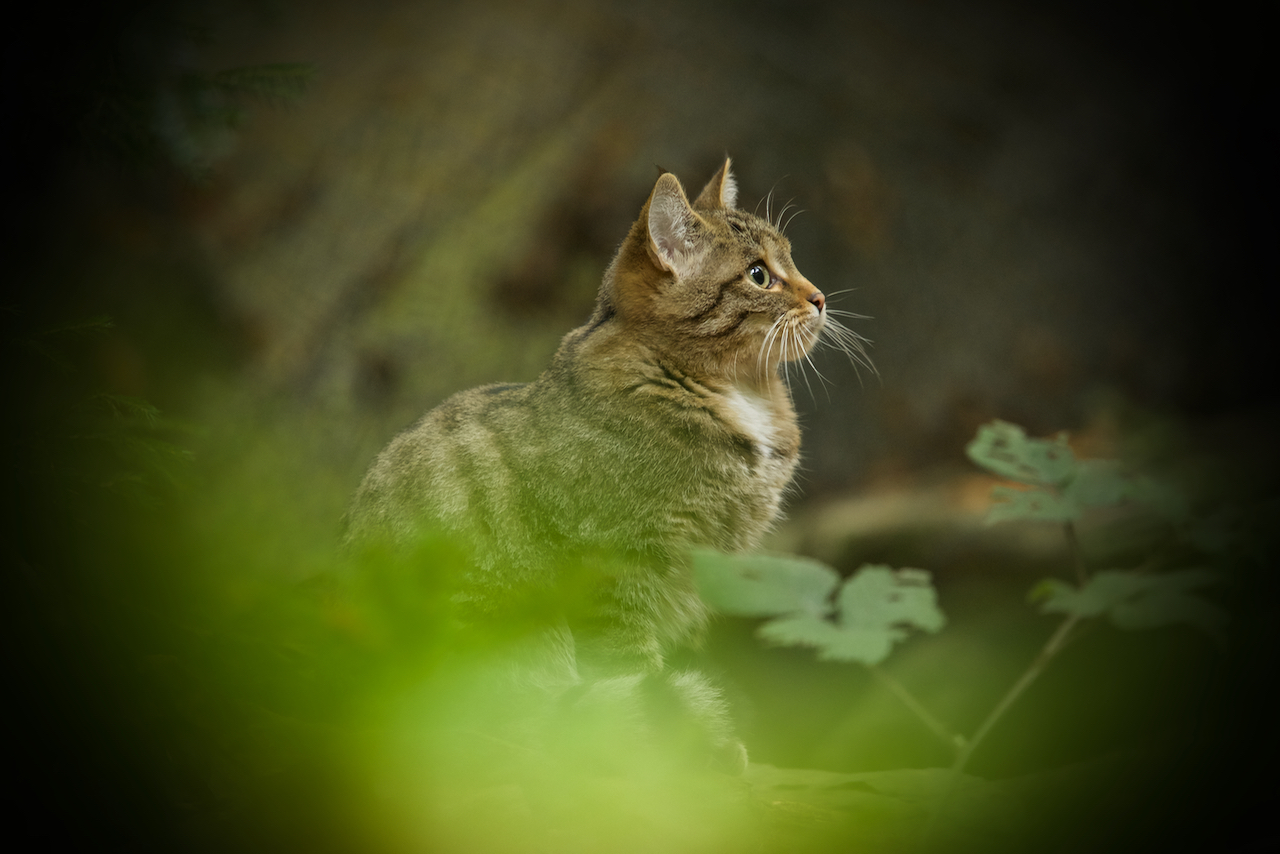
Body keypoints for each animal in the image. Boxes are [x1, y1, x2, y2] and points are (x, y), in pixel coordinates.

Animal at [345, 156, 860, 778]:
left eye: (791, 259)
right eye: (759, 275)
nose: (821, 298)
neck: (732, 393)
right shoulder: (615, 569)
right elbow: (628, 674)